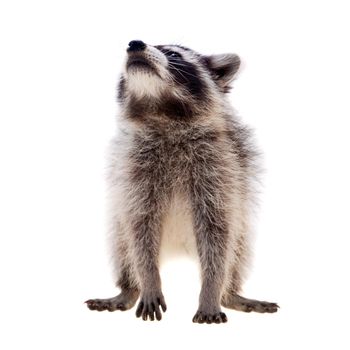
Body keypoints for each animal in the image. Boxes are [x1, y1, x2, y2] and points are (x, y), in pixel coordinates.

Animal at [85, 40, 278, 322]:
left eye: (174, 54)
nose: (134, 44)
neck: (163, 111)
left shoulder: (221, 167)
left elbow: (218, 231)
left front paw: (211, 291)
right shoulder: (133, 170)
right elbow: (139, 226)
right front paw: (149, 280)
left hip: (242, 228)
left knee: (237, 253)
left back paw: (229, 293)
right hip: (118, 232)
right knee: (124, 247)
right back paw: (130, 288)